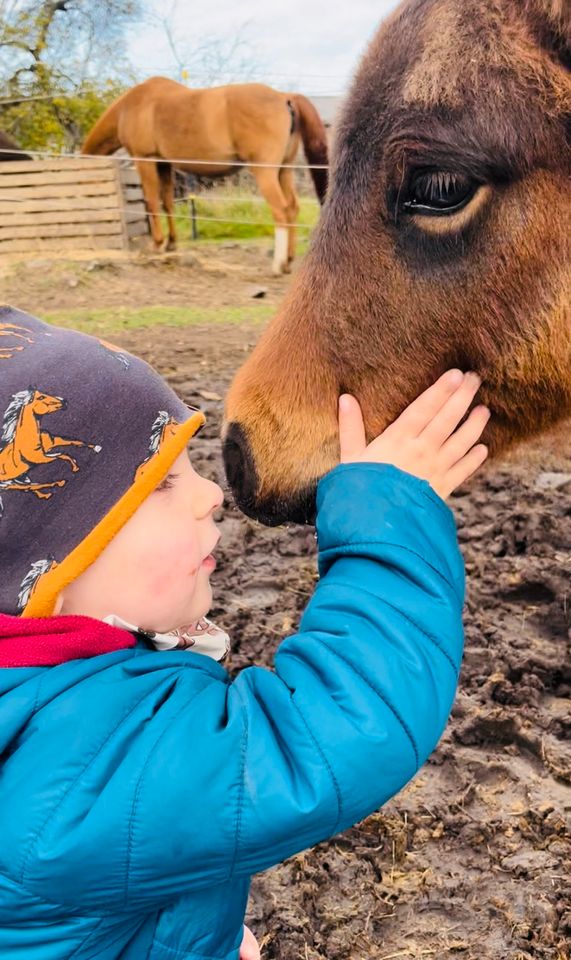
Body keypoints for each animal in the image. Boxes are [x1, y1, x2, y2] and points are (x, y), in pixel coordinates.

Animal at [82, 77, 328, 274]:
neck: (132, 106)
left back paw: (278, 265)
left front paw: (157, 244)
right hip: (283, 170)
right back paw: (289, 260)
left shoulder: (146, 160)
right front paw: (171, 243)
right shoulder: (164, 164)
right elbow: (168, 203)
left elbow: (151, 202)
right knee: (293, 208)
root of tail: (284, 97)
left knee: (281, 210)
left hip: (265, 172)